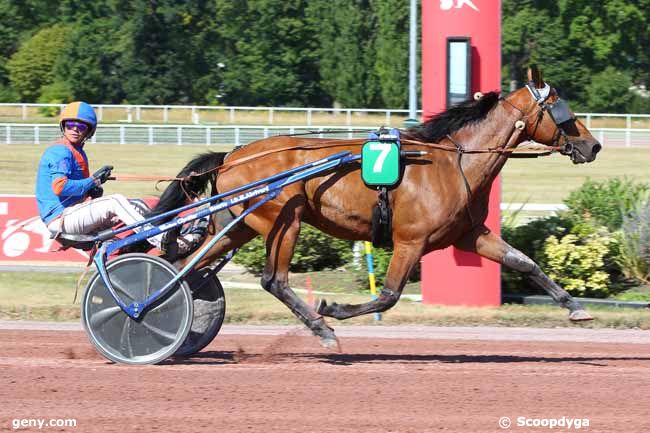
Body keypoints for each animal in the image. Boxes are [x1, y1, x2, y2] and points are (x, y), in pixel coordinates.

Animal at [151, 70, 596, 348]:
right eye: (562, 109)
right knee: (273, 280)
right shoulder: (410, 241)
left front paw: (575, 308)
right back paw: (322, 329)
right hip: (284, 220)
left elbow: (524, 263)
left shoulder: (470, 235)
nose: (592, 145)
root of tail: (232, 155)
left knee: (188, 267)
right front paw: (334, 308)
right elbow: (387, 296)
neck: (454, 162)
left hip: (238, 223)